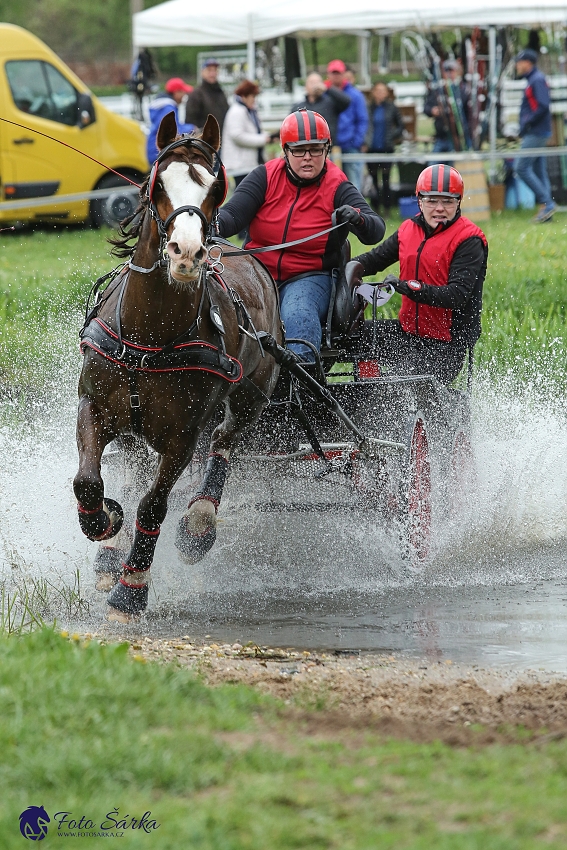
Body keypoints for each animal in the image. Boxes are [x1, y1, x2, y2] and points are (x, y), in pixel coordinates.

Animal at [74, 111, 284, 616]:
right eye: (159, 183)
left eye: (214, 186)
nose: (187, 253)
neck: (149, 336)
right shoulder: (94, 406)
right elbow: (88, 480)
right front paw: (105, 522)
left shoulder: (183, 436)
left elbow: (154, 505)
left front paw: (131, 591)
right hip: (133, 430)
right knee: (131, 470)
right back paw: (110, 553)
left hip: (251, 396)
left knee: (225, 443)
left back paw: (199, 524)